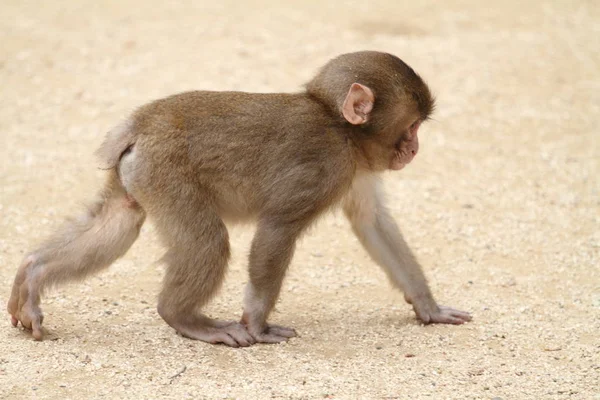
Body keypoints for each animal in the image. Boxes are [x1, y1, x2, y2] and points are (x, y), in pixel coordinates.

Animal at [7, 50, 472, 346]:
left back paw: (33, 274)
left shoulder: (355, 167)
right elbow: (277, 229)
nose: (415, 149)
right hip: (168, 173)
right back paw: (184, 318)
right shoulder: (326, 166)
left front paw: (427, 306)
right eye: (411, 127)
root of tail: (140, 123)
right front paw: (258, 324)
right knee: (208, 243)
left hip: (141, 175)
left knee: (118, 222)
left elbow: (372, 221)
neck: (339, 126)